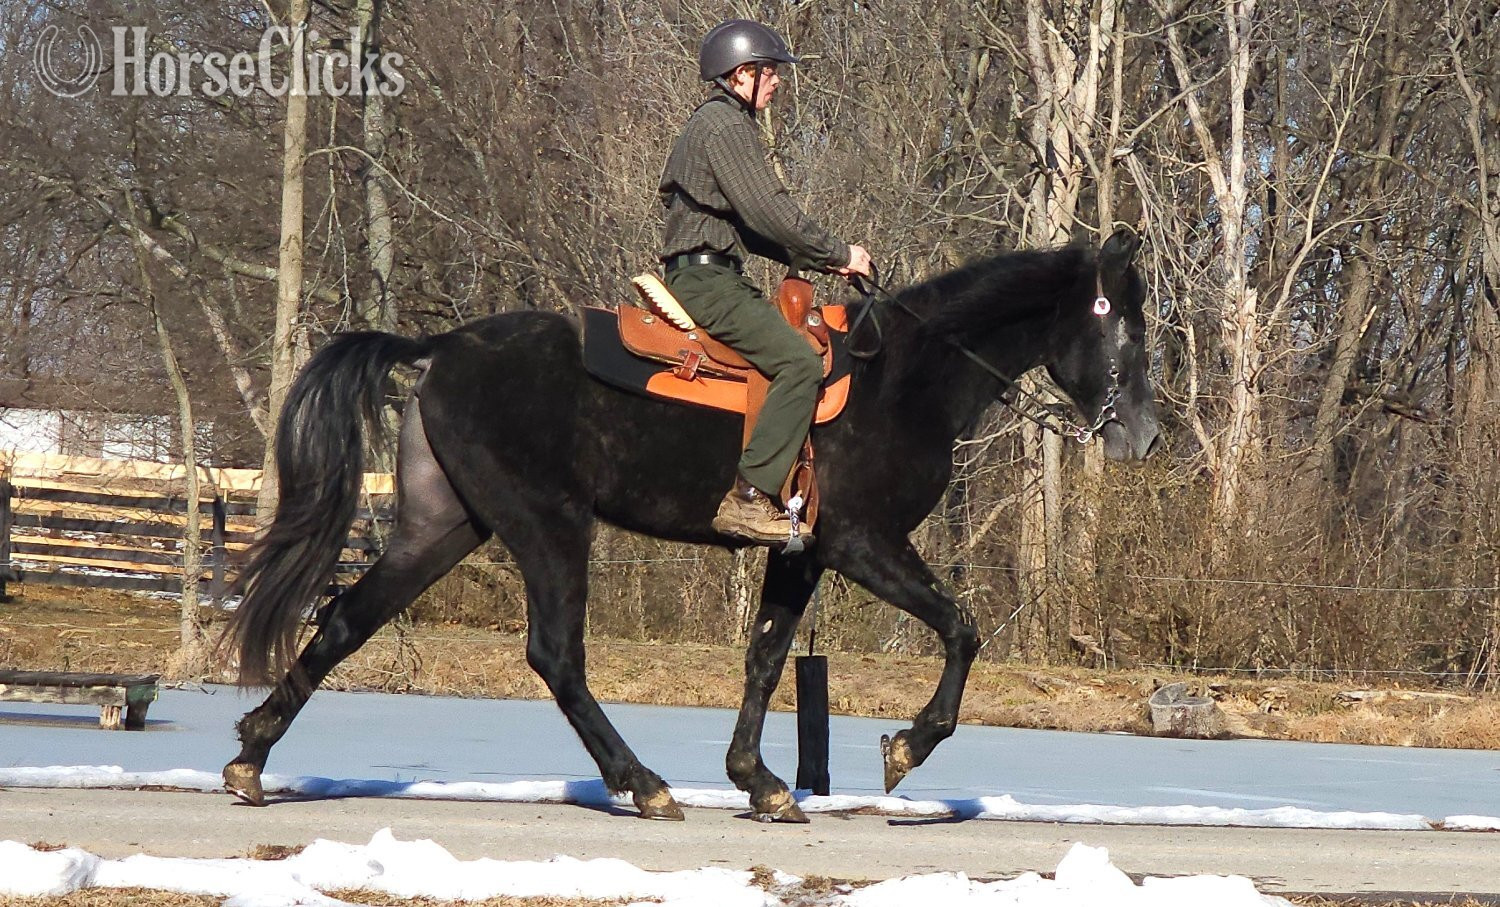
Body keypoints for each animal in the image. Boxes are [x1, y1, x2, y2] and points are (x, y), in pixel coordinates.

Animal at [222, 227, 1161, 823]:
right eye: (1126, 327)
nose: (1145, 437)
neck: (905, 377)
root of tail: (444, 346)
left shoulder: (802, 553)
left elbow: (767, 658)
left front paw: (760, 781)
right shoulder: (862, 544)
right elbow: (962, 629)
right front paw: (907, 747)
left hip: (445, 525)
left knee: (347, 618)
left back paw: (251, 756)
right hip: (548, 524)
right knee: (555, 655)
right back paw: (642, 782)